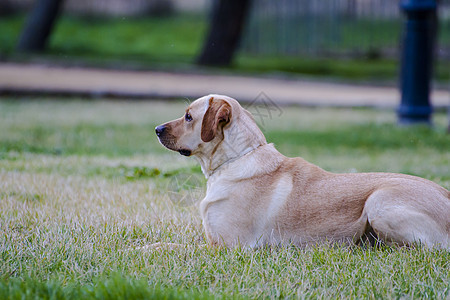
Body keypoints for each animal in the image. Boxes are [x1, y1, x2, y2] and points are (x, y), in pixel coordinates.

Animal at [156, 94, 450, 248]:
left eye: (188, 117)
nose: (157, 129)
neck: (237, 159)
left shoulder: (229, 245)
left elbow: (171, 245)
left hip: (378, 201)